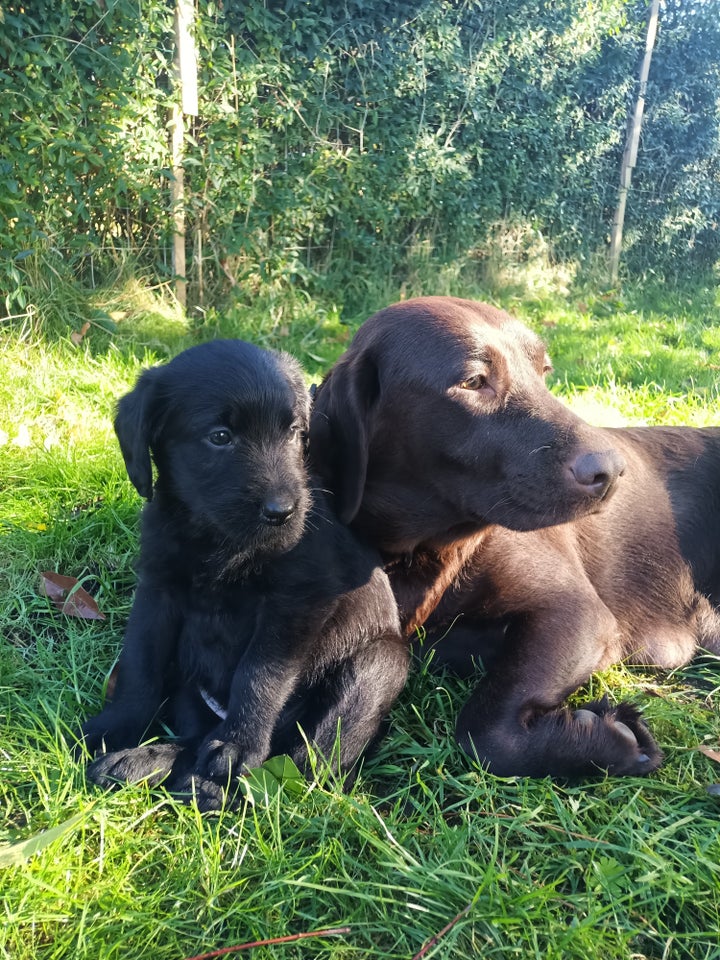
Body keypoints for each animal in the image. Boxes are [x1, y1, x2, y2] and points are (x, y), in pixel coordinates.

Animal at [81, 342, 408, 808]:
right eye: (220, 437)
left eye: (294, 433)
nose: (282, 512)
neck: (217, 539)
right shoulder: (158, 588)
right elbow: (141, 661)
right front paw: (118, 725)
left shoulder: (297, 601)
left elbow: (259, 673)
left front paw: (238, 744)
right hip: (190, 691)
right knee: (195, 739)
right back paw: (145, 763)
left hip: (378, 666)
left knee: (301, 760)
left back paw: (211, 783)